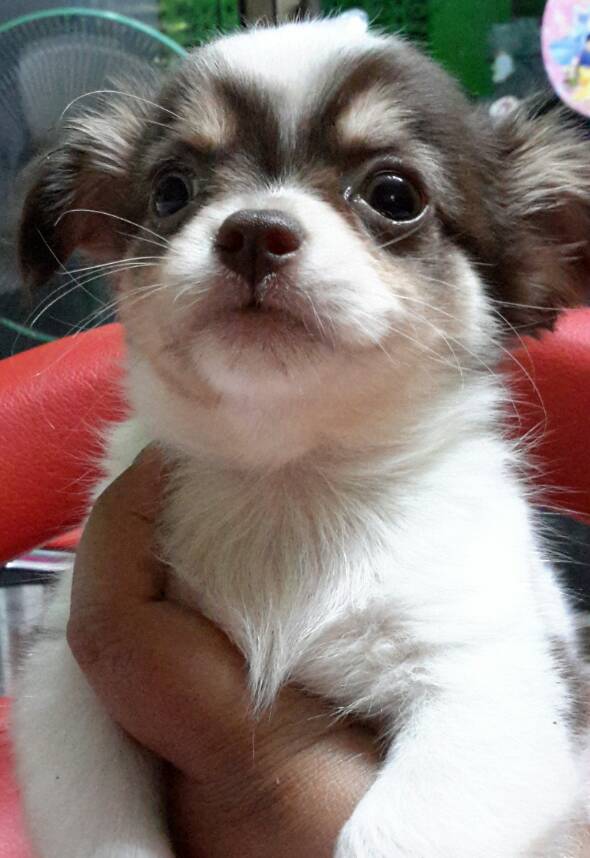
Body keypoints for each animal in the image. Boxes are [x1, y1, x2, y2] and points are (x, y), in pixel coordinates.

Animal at [12, 16, 590, 858]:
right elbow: (100, 826)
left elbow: (392, 833)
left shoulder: (498, 685)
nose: (253, 231)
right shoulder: (60, 681)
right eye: (170, 190)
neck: (285, 480)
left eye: (394, 195)